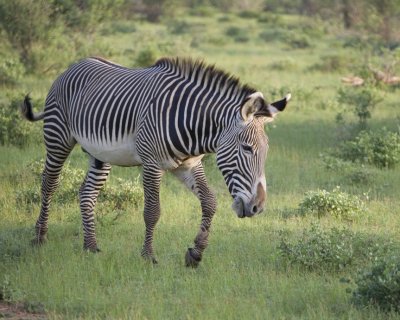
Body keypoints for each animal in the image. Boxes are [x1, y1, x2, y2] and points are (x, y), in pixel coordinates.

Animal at [21, 56, 290, 266]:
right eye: (247, 149)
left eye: (265, 151)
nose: (257, 207)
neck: (192, 126)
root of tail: (74, 65)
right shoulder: (151, 164)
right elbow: (152, 211)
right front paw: (148, 256)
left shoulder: (189, 165)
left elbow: (210, 202)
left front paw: (195, 253)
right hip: (57, 136)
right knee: (49, 184)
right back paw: (40, 237)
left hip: (99, 154)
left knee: (86, 193)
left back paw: (90, 246)